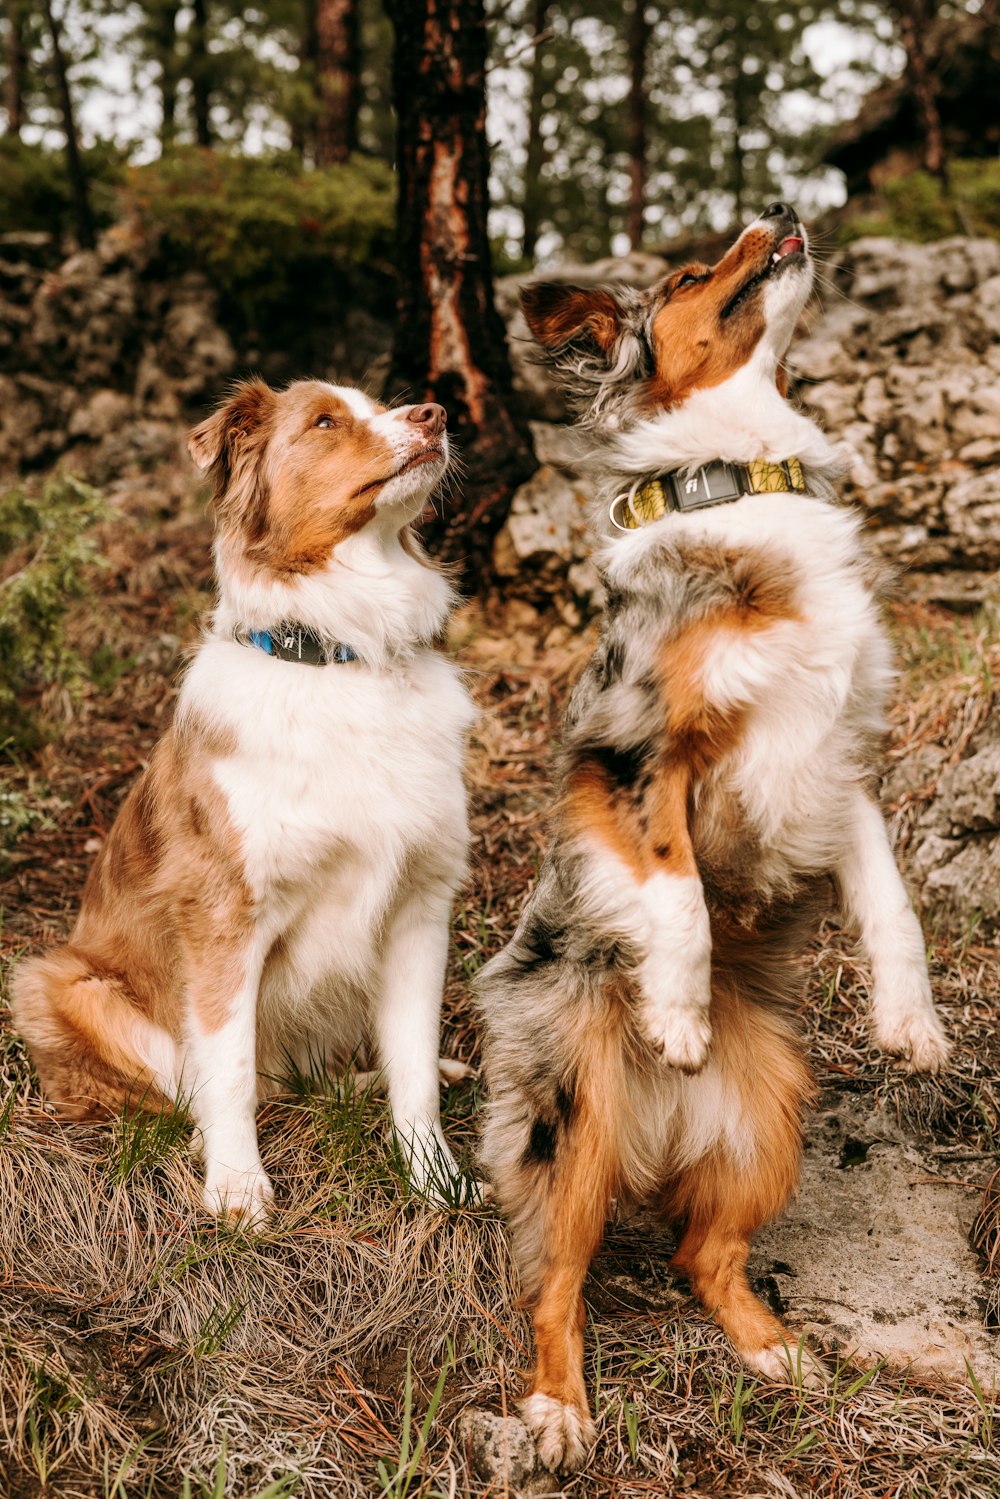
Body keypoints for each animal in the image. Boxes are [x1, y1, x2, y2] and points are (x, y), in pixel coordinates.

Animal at [10, 374, 473, 1217]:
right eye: (325, 421)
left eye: (382, 402)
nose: (436, 413)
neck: (342, 656)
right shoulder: (224, 912)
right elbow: (226, 1066)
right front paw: (236, 1188)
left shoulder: (420, 904)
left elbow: (415, 1067)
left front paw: (435, 1177)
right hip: (57, 981)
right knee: (199, 1085)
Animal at [473, 202, 953, 1475]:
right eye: (694, 270)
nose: (782, 211)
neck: (743, 480)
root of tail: (658, 1134)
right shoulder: (629, 754)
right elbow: (676, 885)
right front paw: (681, 1008)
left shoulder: (844, 762)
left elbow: (892, 901)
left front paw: (912, 1022)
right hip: (570, 1121)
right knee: (553, 1283)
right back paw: (557, 1411)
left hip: (772, 1118)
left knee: (704, 1252)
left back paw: (774, 1348)